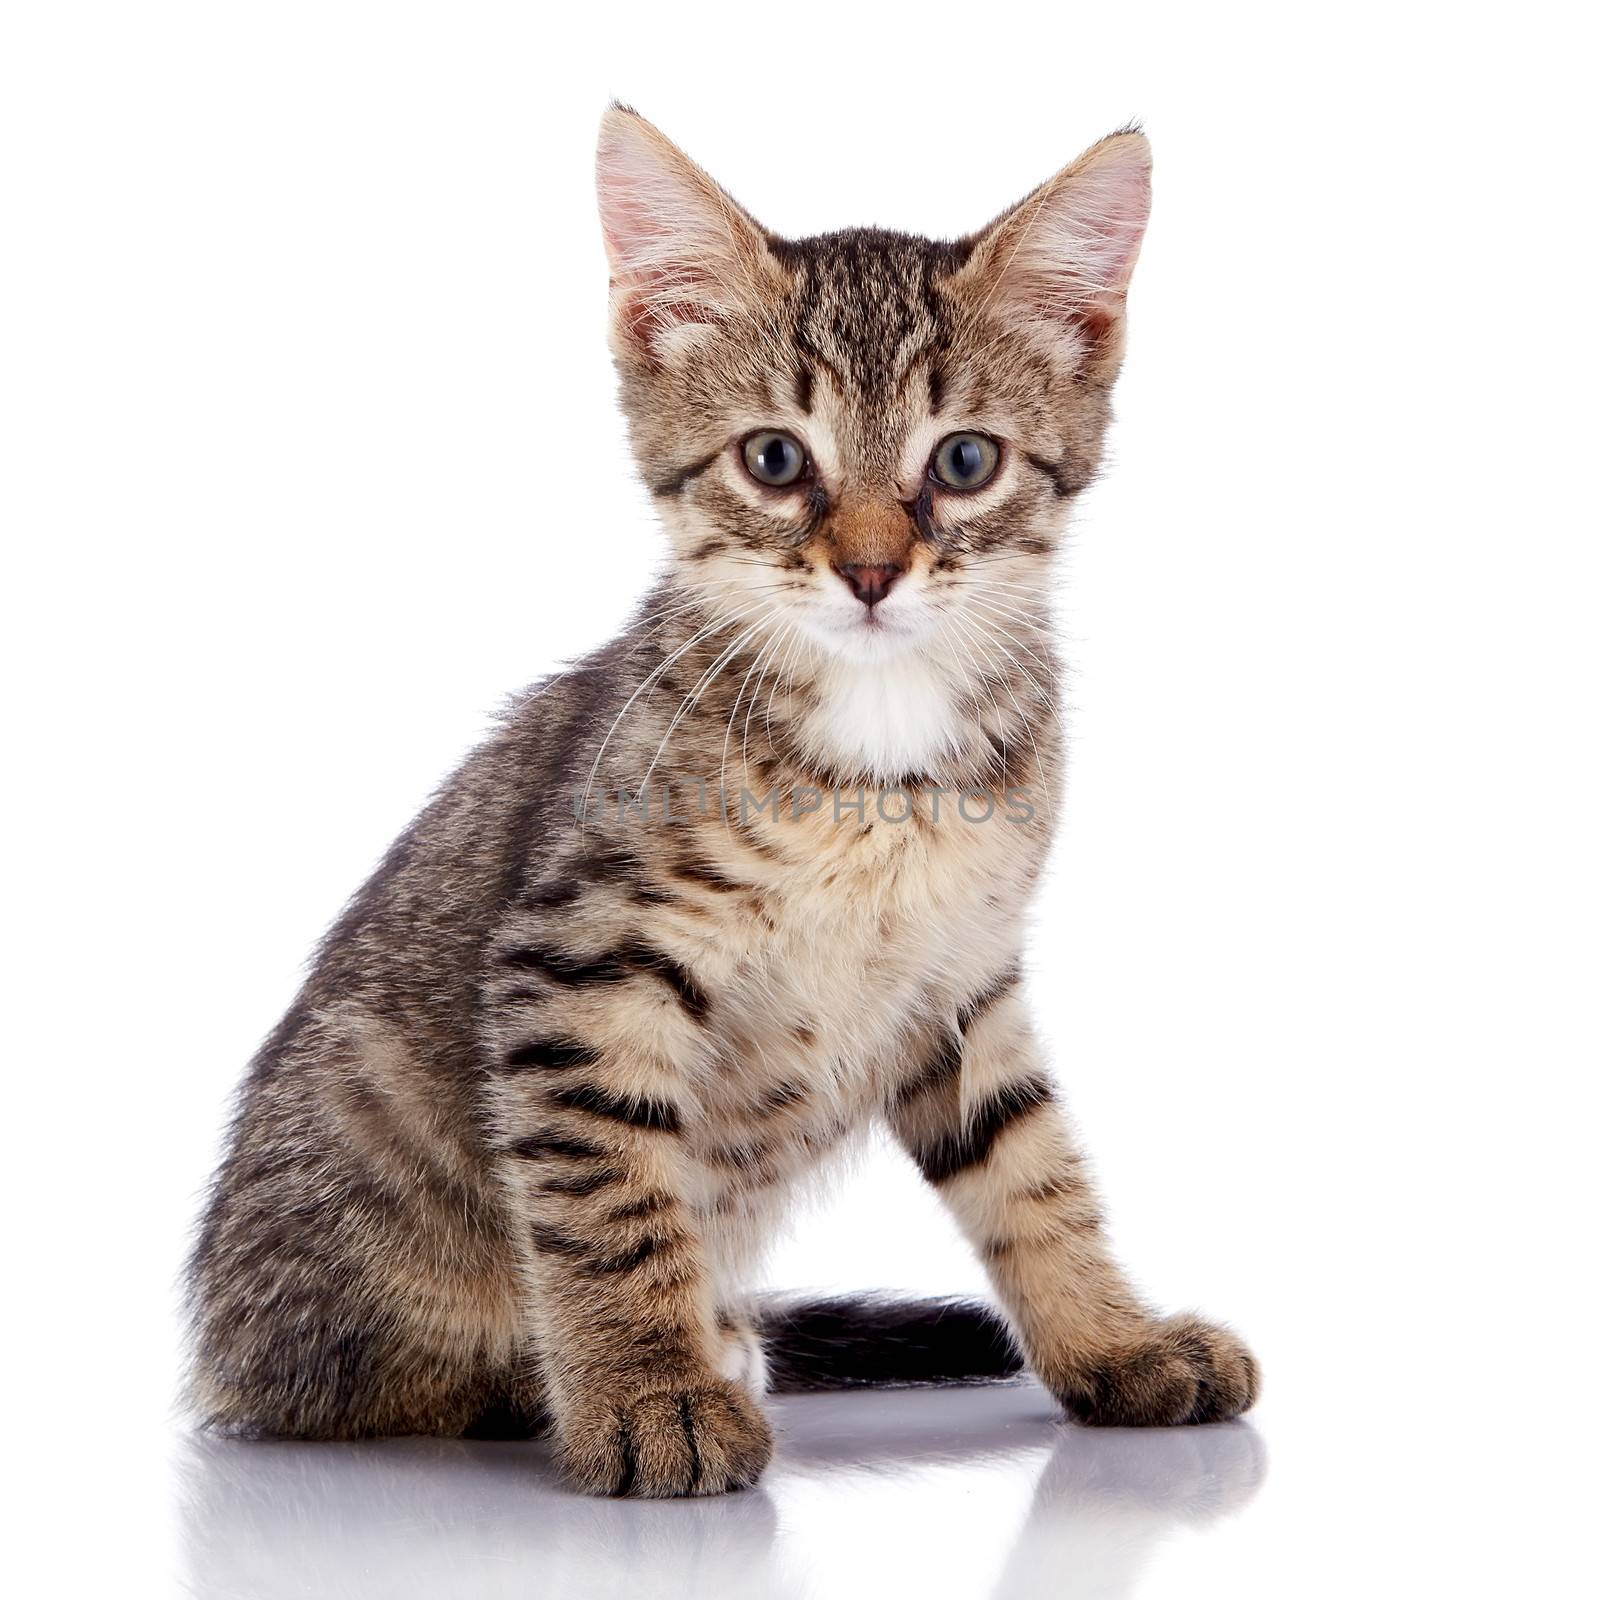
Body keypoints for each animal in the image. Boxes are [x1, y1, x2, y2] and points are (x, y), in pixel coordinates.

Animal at [187, 106, 1254, 1491]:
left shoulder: (961, 974)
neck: (880, 760)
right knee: (360, 1383)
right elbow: (606, 1193)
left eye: (963, 461)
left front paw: (1113, 1340)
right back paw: (566, 1371)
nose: (870, 570)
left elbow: (1030, 1166)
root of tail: (222, 1346)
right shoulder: (580, 959)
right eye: (775, 459)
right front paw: (650, 1389)